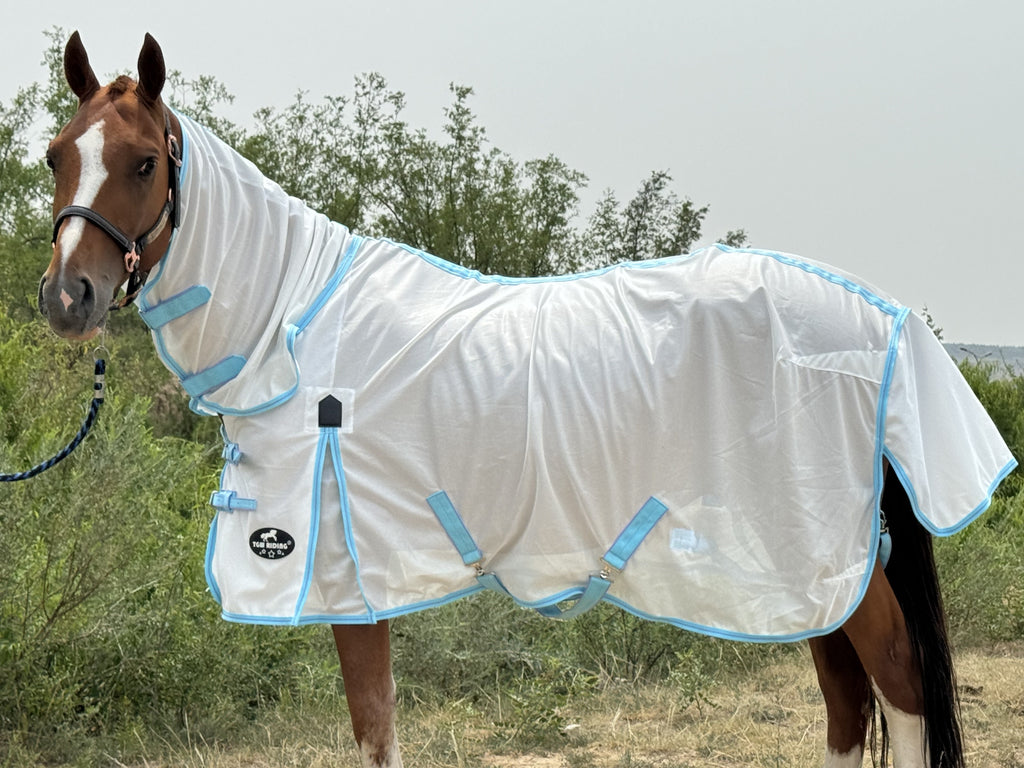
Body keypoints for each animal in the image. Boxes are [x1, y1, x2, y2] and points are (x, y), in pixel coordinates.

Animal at [38, 32, 1015, 768]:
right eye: (55, 156)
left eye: (144, 162)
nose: (66, 297)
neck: (294, 321)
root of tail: (884, 314)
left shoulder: (350, 578)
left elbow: (374, 727)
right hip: (805, 569)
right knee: (847, 700)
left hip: (827, 558)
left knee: (897, 684)